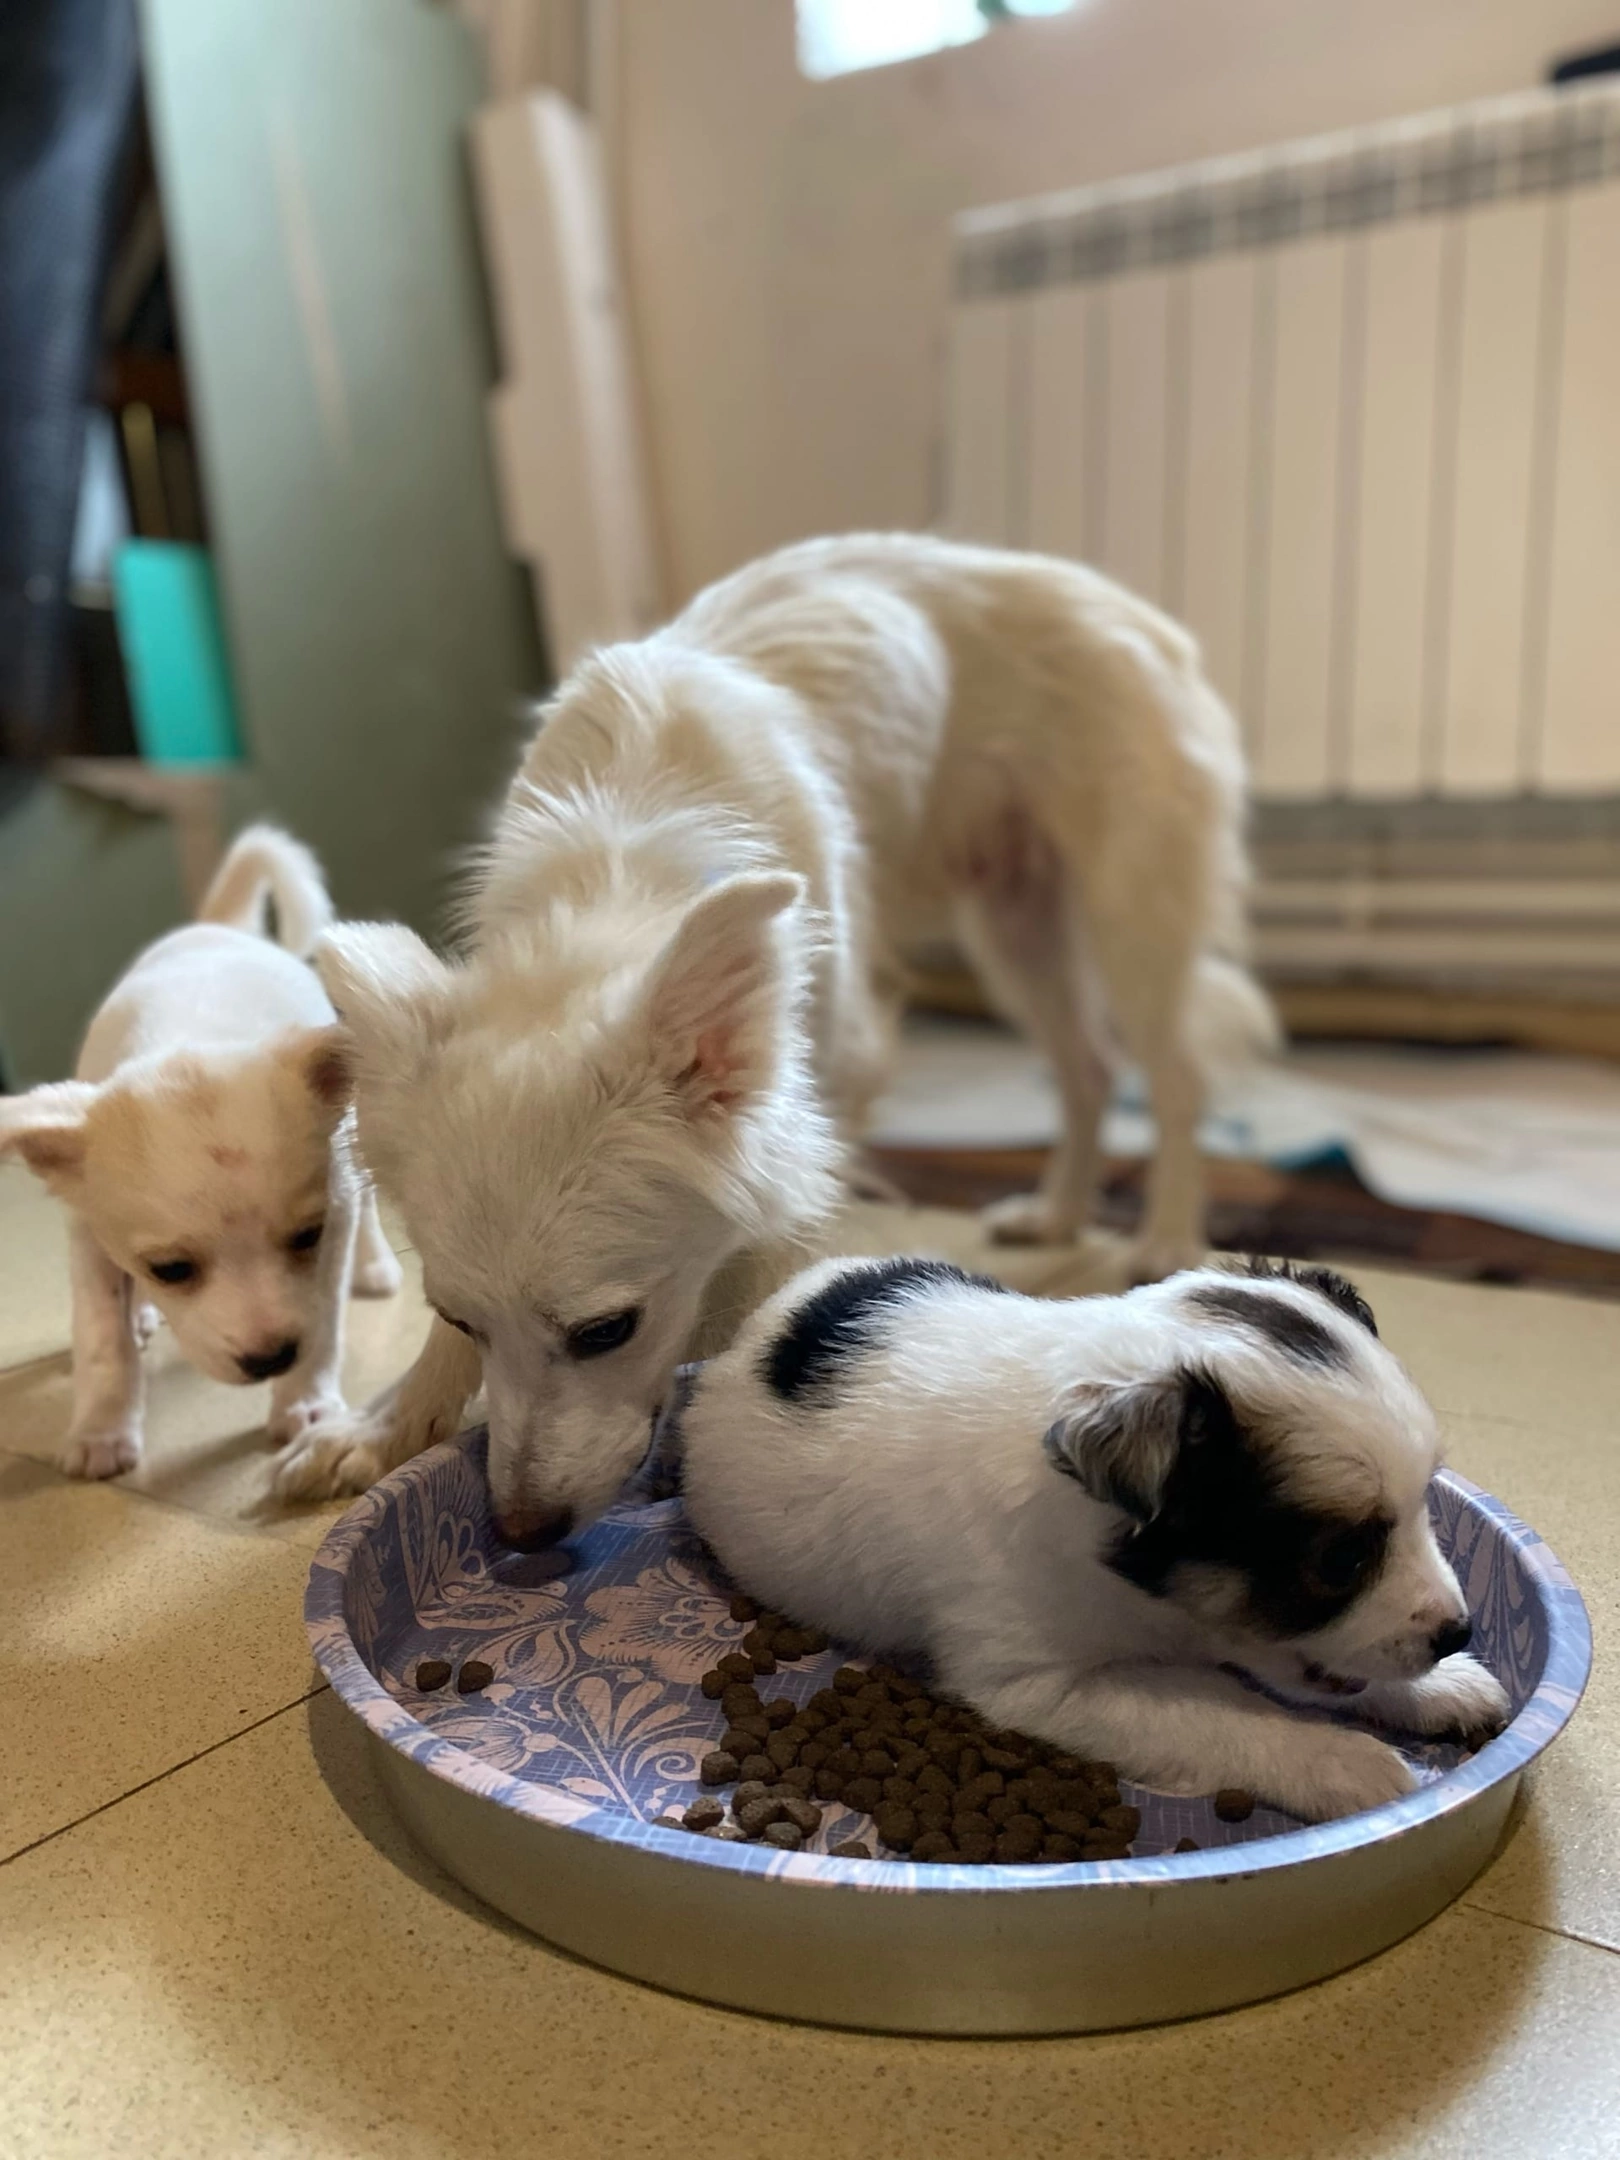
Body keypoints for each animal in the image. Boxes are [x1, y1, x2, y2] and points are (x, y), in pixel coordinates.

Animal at [0, 825, 401, 1478]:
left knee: (367, 1209)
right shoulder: (86, 1234)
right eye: (170, 1269)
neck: (187, 1036)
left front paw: (306, 1403)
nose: (271, 1358)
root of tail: (218, 925)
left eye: (307, 1238)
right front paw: (102, 1430)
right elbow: (101, 1338)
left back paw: (374, 1265)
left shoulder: (333, 1211)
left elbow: (324, 1317)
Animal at [277, 534, 1273, 1535]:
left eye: (607, 1332)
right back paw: (1059, 1211)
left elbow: (777, 1260)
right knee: (1088, 1070)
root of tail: (1125, 605)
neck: (619, 861)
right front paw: (385, 1423)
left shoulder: (821, 1099)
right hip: (1013, 926)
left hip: (1125, 921)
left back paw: (1165, 1235)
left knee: (1172, 1080)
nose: (522, 1532)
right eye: (460, 1320)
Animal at [678, 1254, 1510, 1822]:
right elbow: (1218, 1707)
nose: (1458, 1631)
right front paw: (1345, 1762)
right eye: (1341, 1559)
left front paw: (1443, 1685)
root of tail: (757, 1327)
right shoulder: (1042, 1684)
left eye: (1424, 1508)